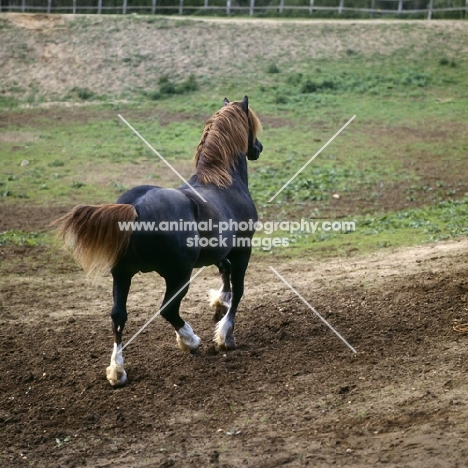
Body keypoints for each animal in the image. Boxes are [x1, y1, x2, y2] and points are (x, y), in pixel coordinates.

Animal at [54, 96, 264, 388]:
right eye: (251, 124)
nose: (258, 148)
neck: (224, 183)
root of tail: (135, 208)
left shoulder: (221, 251)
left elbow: (225, 272)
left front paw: (219, 304)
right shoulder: (243, 248)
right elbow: (239, 289)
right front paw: (225, 335)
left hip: (122, 274)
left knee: (118, 315)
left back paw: (117, 371)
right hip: (178, 275)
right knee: (168, 309)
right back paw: (190, 340)